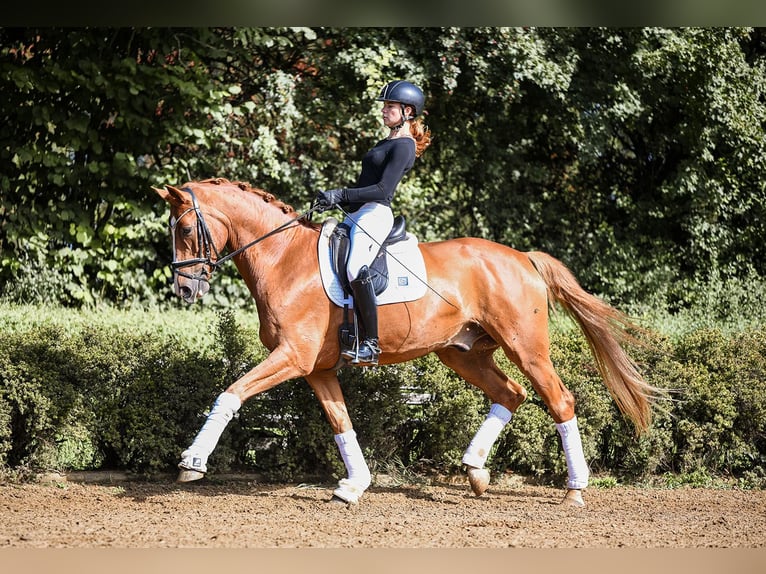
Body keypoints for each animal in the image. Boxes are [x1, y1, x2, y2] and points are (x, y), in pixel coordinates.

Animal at [153, 177, 659, 507]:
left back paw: (575, 488)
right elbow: (342, 423)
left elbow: (231, 393)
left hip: (526, 348)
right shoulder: (316, 368)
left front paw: (192, 461)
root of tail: (522, 257)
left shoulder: (291, 357)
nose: (184, 291)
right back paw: (476, 472)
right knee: (510, 394)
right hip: (462, 353)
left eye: (185, 229)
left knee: (559, 400)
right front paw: (353, 486)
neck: (282, 259)